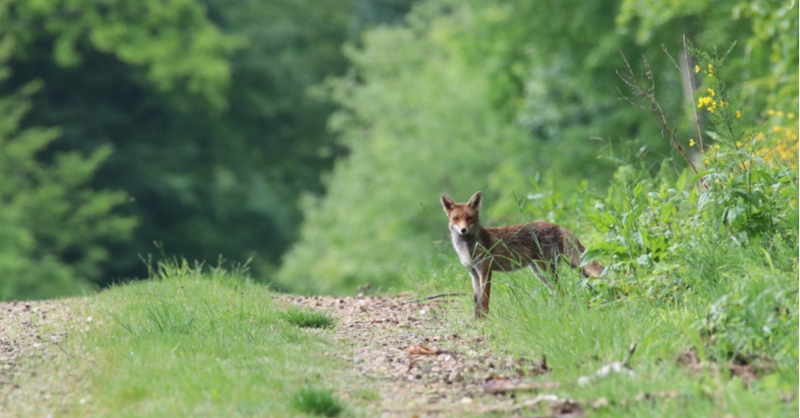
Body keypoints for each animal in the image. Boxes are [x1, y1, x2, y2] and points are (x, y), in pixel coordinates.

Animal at [440, 191, 603, 317]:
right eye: (456, 219)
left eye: (469, 218)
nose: (463, 230)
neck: (468, 248)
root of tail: (557, 226)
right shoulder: (473, 273)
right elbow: (477, 301)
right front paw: (477, 319)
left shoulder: (485, 271)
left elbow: (485, 300)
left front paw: (486, 320)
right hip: (540, 272)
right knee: (558, 292)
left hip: (546, 270)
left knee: (562, 291)